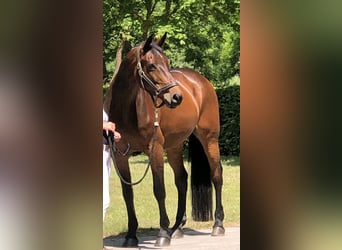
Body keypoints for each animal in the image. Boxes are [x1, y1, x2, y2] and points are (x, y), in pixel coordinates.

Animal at [106, 34, 224, 247]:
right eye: (151, 66)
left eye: (168, 63)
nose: (177, 97)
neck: (127, 108)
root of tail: (200, 81)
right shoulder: (120, 154)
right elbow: (128, 194)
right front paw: (131, 235)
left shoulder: (156, 150)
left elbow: (159, 190)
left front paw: (162, 234)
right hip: (175, 145)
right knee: (182, 179)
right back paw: (177, 228)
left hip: (209, 138)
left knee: (216, 174)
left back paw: (218, 225)